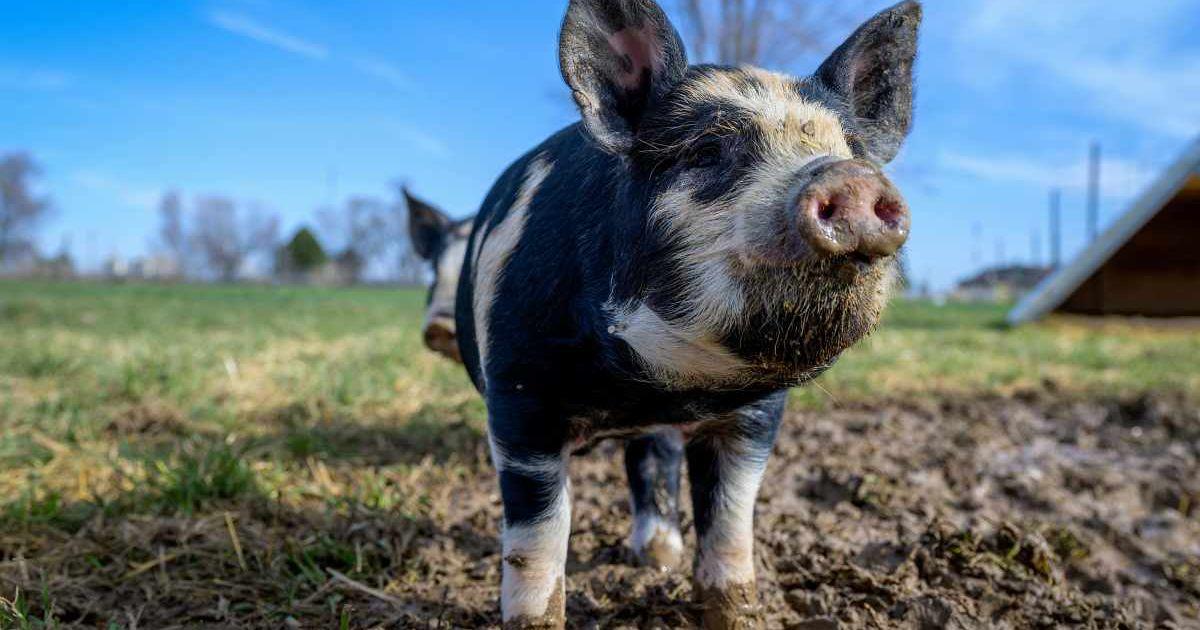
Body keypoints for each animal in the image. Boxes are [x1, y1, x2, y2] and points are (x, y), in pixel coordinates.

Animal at [455, 1, 919, 627]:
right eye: (705, 151)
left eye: (852, 148)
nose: (849, 177)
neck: (656, 384)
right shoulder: (518, 391)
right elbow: (538, 538)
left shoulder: (754, 417)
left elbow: (730, 523)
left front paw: (735, 611)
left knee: (652, 457)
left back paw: (658, 557)